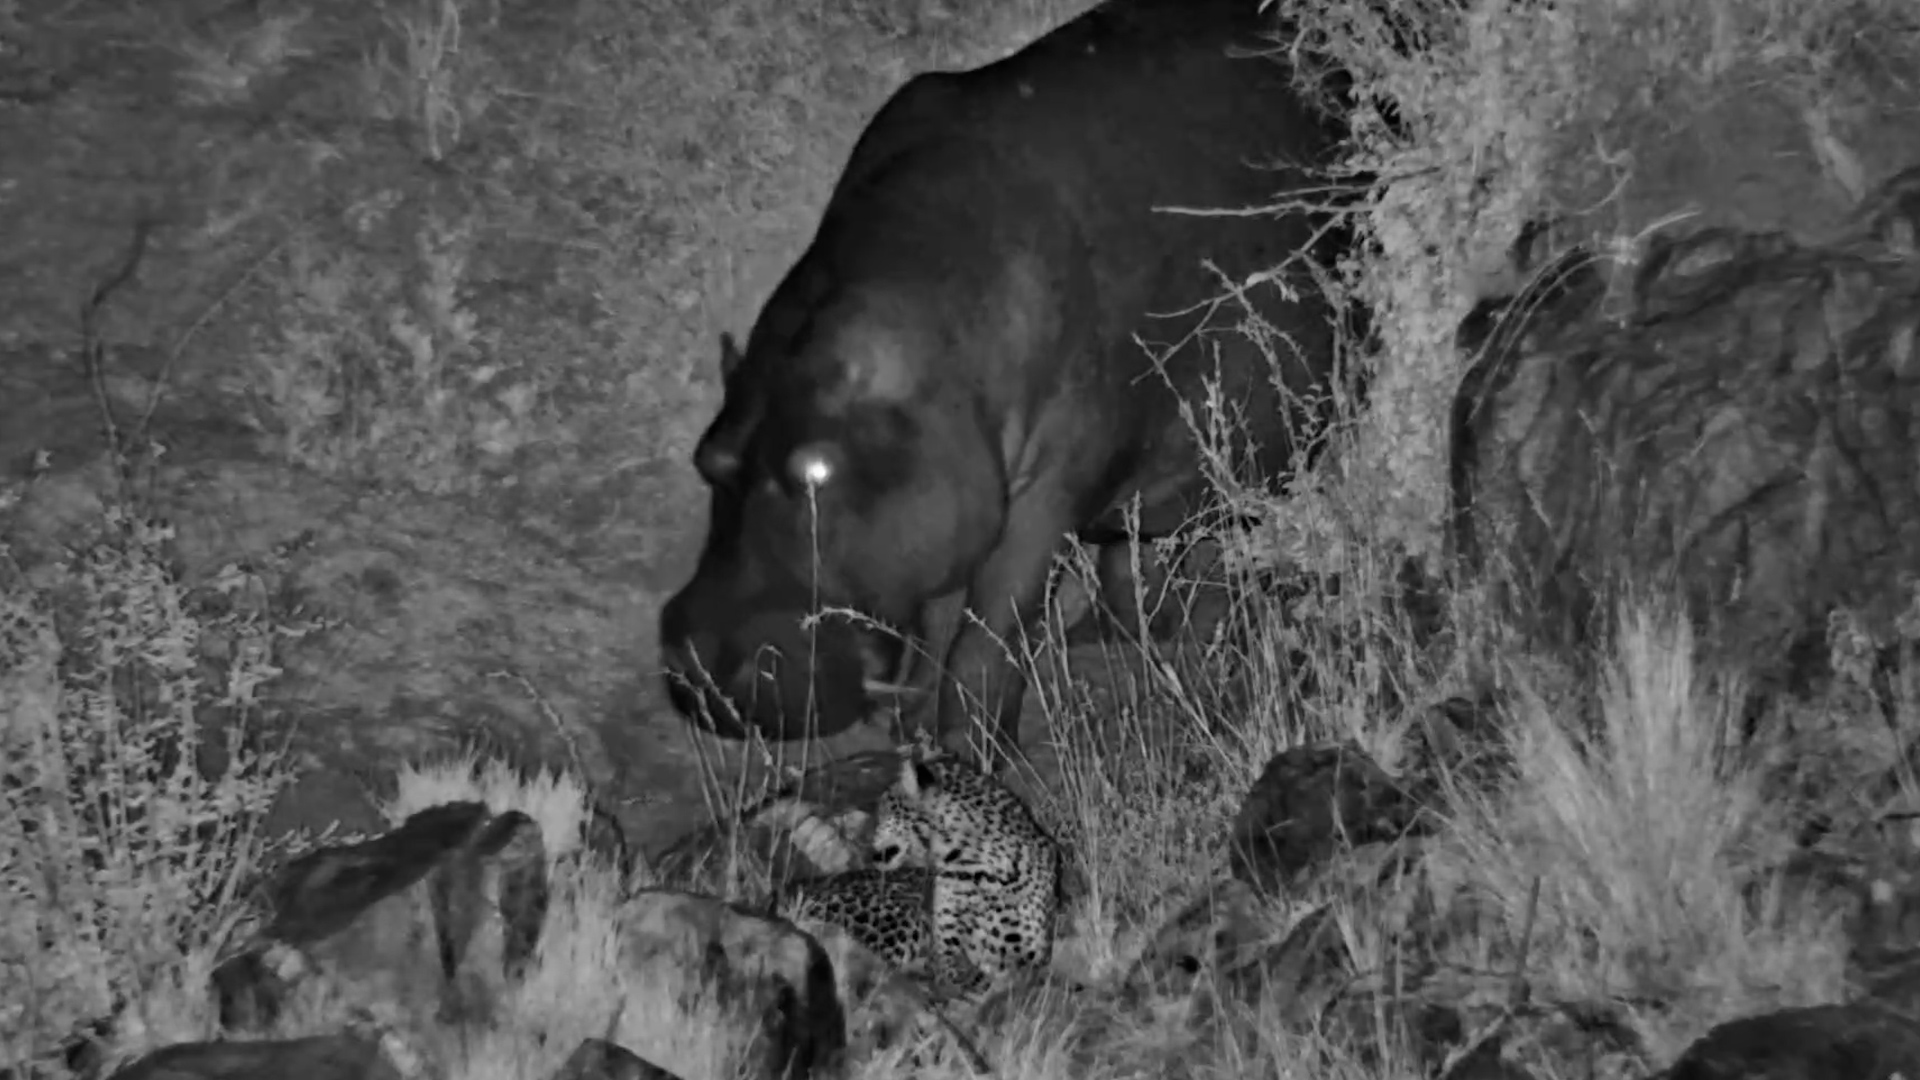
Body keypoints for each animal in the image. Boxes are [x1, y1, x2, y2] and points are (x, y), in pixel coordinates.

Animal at [780, 752, 1063, 1003]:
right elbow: (955, 972)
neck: (976, 869)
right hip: (902, 920)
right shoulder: (945, 948)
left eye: (885, 809)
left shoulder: (1028, 954)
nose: (863, 836)